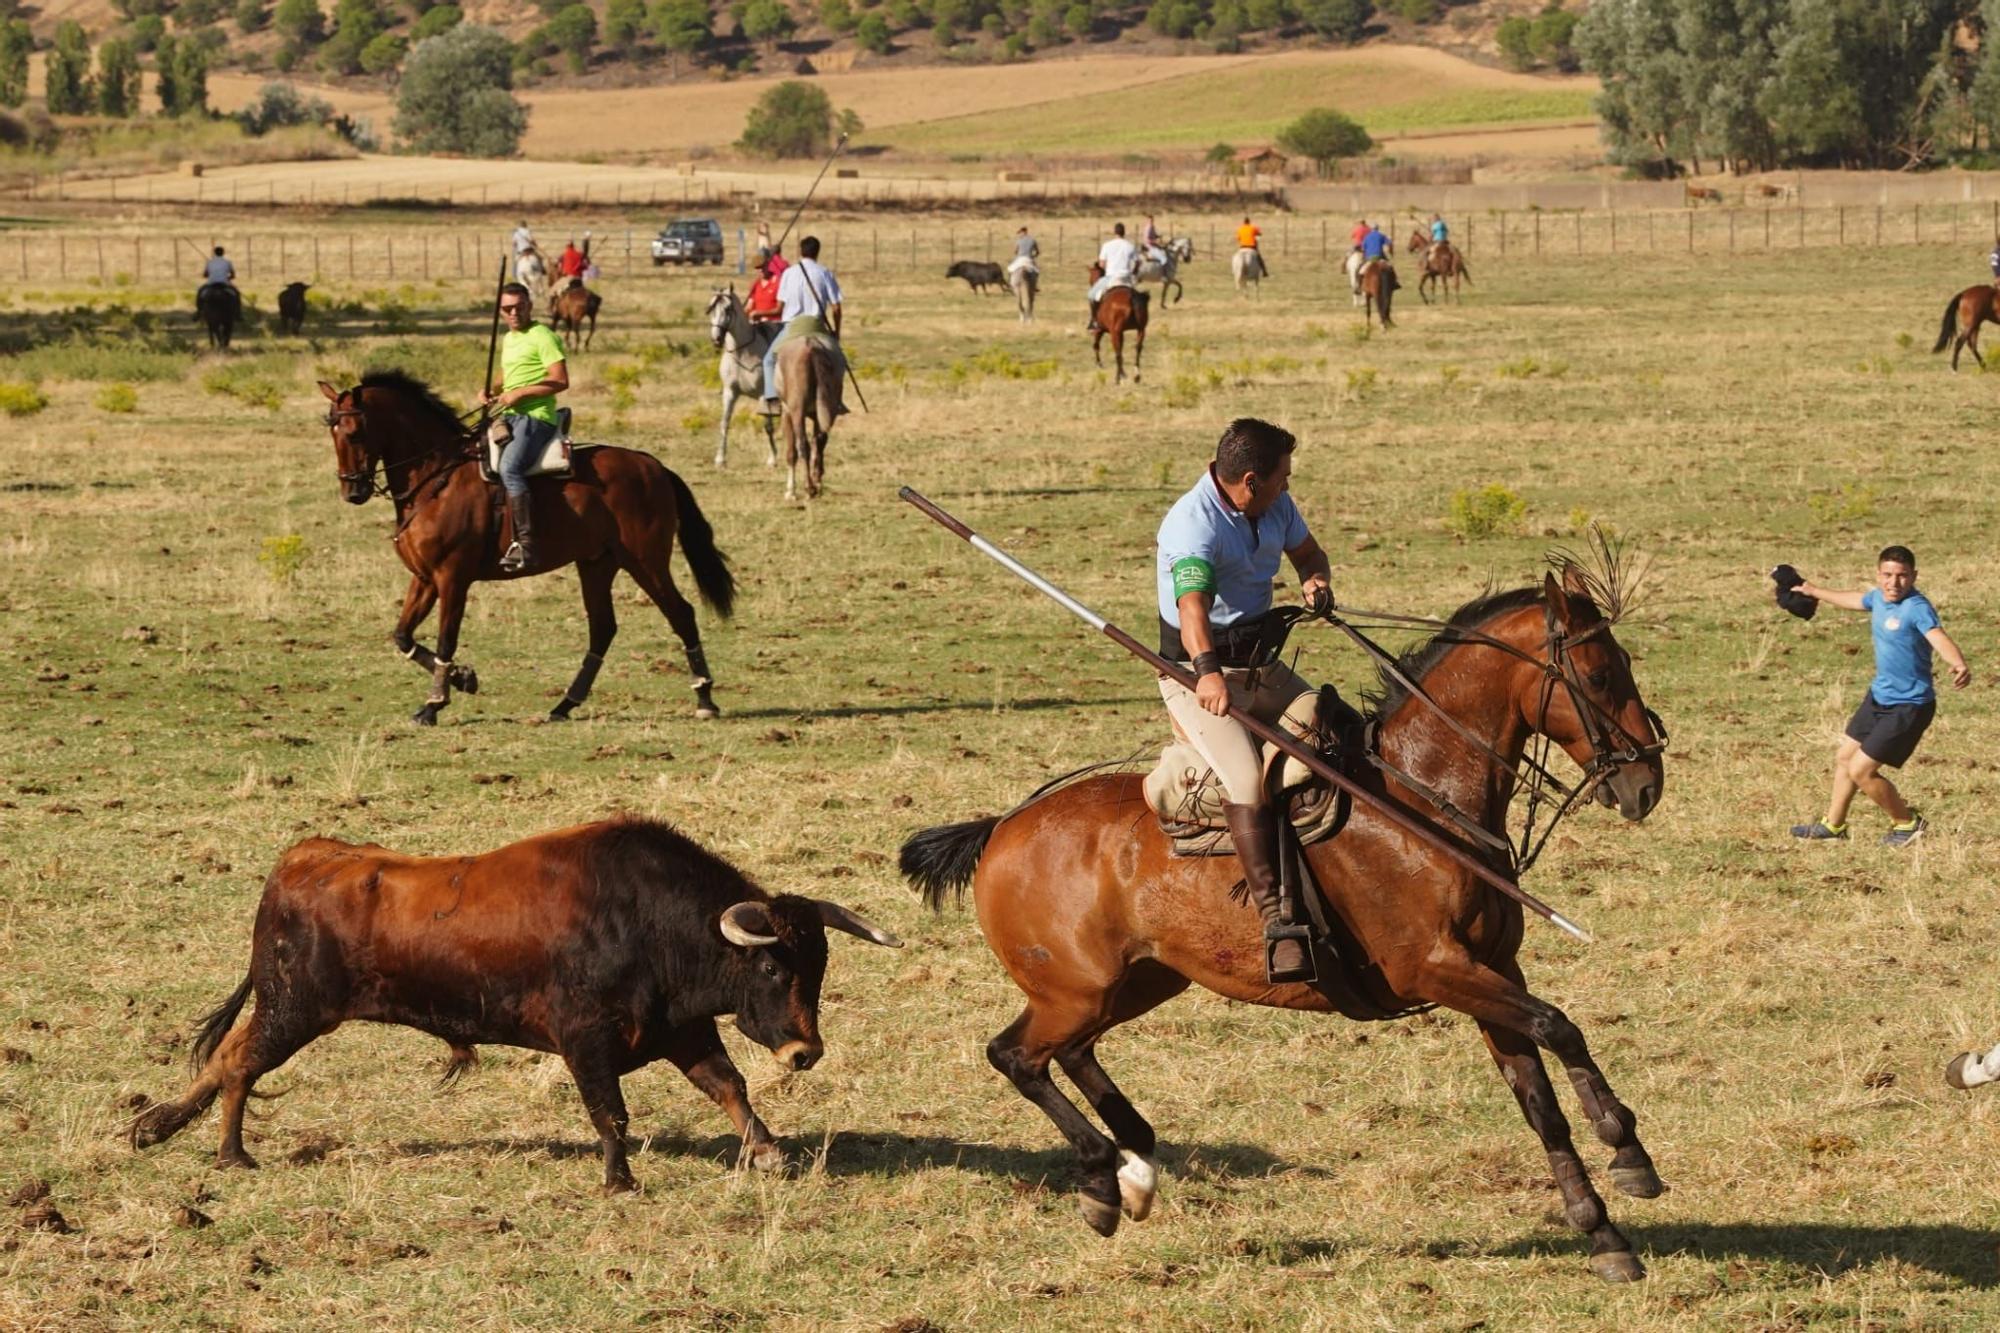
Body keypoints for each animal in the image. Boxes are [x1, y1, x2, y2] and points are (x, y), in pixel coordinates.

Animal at [127, 816, 900, 1184]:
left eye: (819, 965)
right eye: (770, 964)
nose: (805, 1051)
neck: (648, 918)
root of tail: (303, 858)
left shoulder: (682, 1030)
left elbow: (729, 1086)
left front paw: (767, 1152)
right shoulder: (585, 1040)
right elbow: (611, 1112)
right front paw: (619, 1179)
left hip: (287, 1007)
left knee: (228, 1055)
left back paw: (160, 1128)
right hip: (294, 1010)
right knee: (241, 1062)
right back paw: (230, 1154)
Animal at [708, 286, 776, 466]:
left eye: (727, 309)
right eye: (711, 309)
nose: (716, 339)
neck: (743, 353)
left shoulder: (763, 396)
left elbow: (767, 425)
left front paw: (773, 459)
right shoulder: (730, 392)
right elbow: (724, 422)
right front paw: (720, 458)